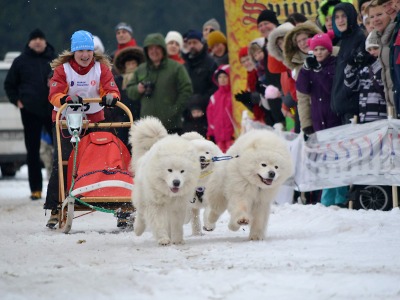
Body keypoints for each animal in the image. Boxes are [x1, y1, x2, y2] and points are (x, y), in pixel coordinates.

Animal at [130, 117, 200, 246]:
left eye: (182, 171)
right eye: (169, 170)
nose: (176, 182)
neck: (169, 195)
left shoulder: (178, 206)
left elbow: (177, 225)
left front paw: (177, 240)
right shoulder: (156, 205)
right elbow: (159, 223)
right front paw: (163, 239)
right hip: (142, 197)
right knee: (141, 213)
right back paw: (138, 229)